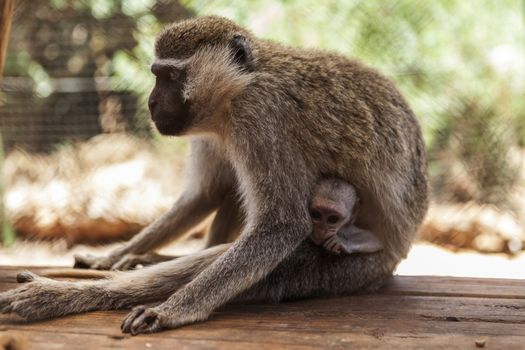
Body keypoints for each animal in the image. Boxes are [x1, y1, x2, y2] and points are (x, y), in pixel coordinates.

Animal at [0, 16, 426, 334]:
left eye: (170, 77)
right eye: (157, 74)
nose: (151, 103)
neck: (240, 85)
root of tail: (398, 254)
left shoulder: (259, 116)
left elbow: (281, 226)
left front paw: (170, 310)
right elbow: (205, 195)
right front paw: (113, 255)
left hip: (352, 268)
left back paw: (60, 295)